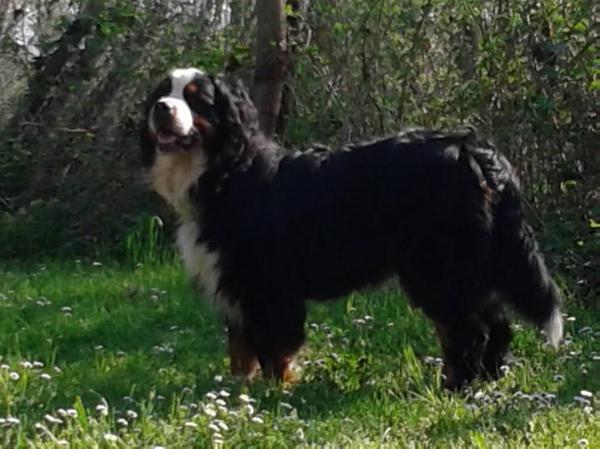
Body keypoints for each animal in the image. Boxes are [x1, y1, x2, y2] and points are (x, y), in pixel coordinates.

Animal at [142, 66, 564, 388]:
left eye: (196, 98)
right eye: (163, 92)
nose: (162, 109)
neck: (226, 173)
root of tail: (470, 148)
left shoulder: (268, 287)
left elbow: (274, 349)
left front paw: (276, 394)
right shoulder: (236, 285)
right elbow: (241, 350)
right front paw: (238, 397)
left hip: (437, 269)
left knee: (468, 331)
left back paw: (454, 387)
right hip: (469, 268)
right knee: (495, 325)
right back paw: (487, 381)